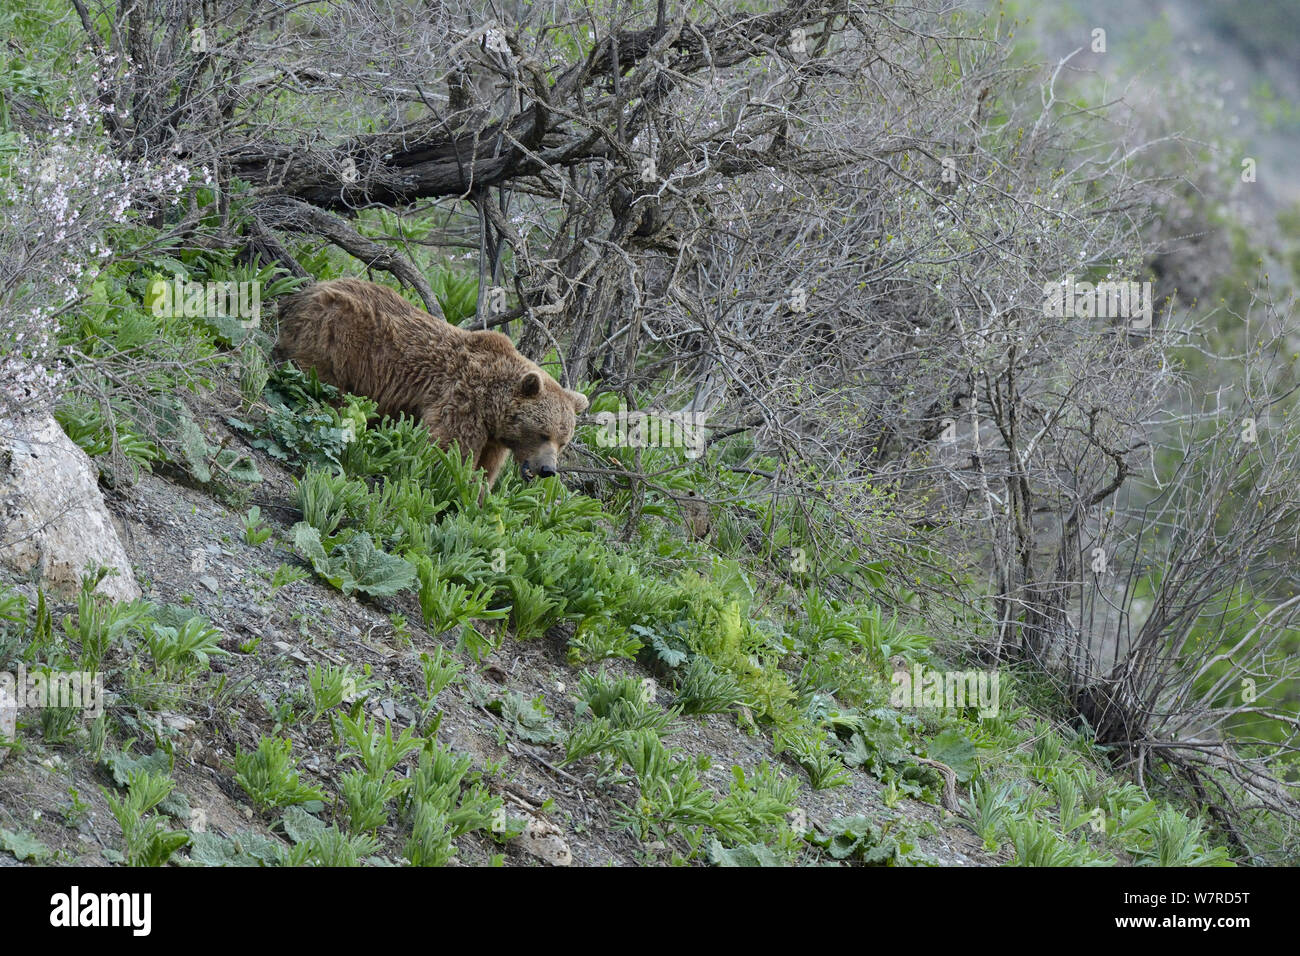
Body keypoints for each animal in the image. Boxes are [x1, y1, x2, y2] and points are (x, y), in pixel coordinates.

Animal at [274, 277, 590, 486]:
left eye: (563, 441)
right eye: (543, 433)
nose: (548, 469)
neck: (492, 406)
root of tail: (306, 292)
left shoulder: (495, 437)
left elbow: (487, 467)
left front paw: (479, 492)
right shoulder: (463, 400)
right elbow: (449, 447)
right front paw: (449, 481)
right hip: (336, 337)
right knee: (321, 381)